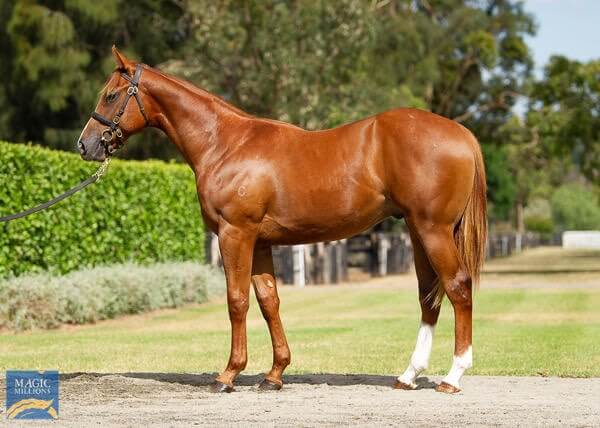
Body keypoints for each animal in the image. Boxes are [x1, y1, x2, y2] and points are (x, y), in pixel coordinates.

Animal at [77, 47, 486, 394]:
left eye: (110, 95)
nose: (86, 145)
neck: (225, 144)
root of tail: (461, 132)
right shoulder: (261, 242)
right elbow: (268, 301)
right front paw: (274, 375)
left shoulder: (235, 234)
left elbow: (237, 300)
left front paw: (228, 374)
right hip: (418, 231)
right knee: (428, 296)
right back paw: (408, 375)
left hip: (433, 230)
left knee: (458, 287)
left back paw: (453, 377)